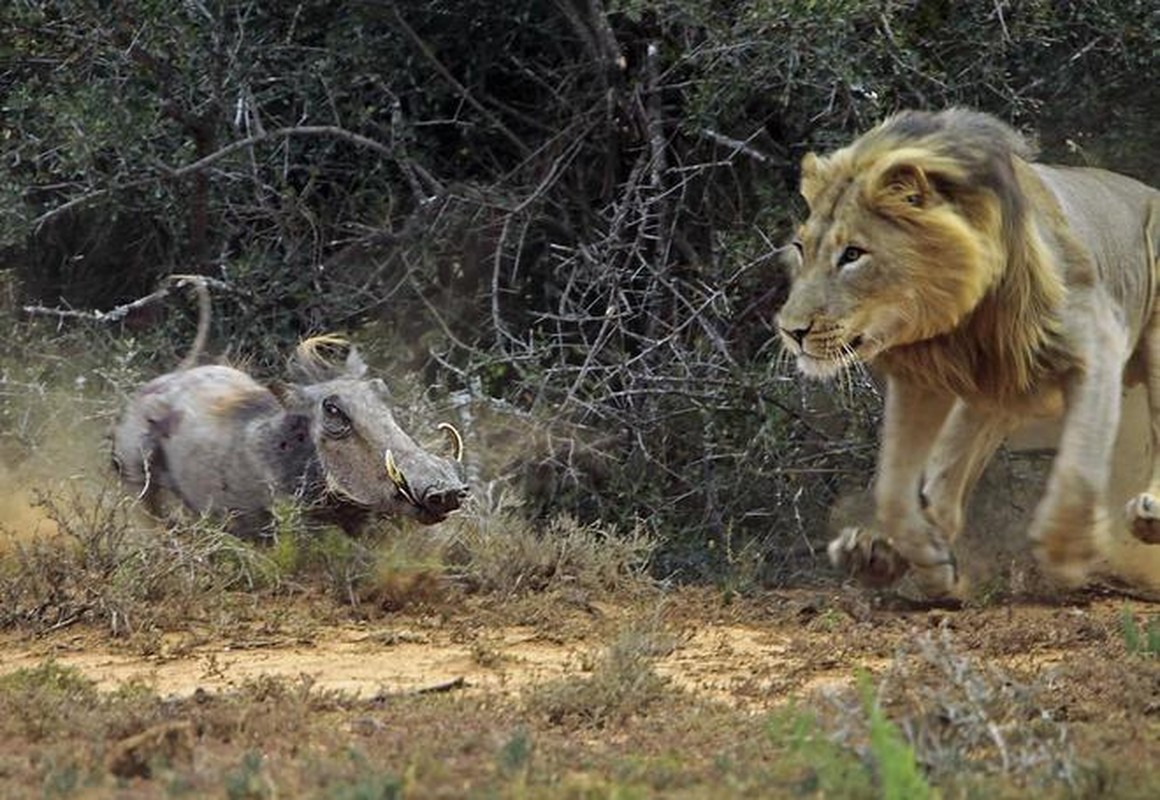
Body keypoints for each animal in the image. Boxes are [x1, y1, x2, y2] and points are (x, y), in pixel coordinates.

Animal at [774, 106, 1160, 593]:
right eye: (800, 247)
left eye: (853, 254)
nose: (791, 331)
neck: (959, 320)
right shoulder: (922, 377)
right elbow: (894, 489)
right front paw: (928, 560)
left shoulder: (1096, 342)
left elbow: (1079, 466)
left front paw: (1067, 555)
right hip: (998, 389)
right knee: (944, 478)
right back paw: (876, 554)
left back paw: (1149, 515)